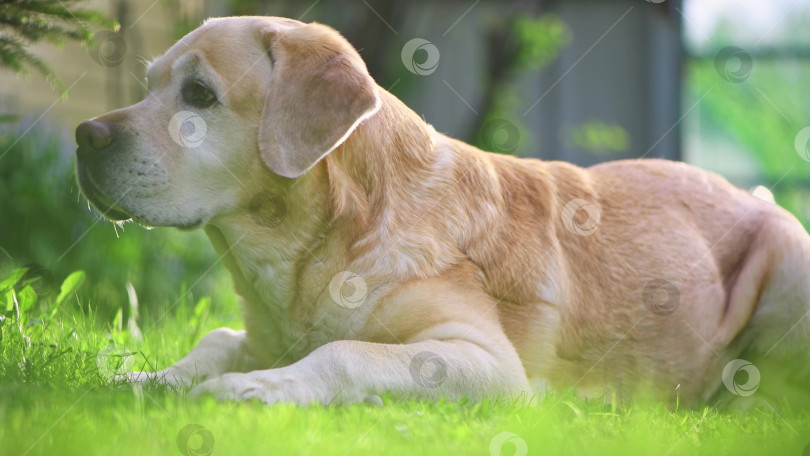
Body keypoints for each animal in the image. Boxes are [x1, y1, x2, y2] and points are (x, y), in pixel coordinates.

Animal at [72, 16, 804, 406]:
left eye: (199, 94)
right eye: (148, 85)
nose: (84, 134)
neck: (321, 250)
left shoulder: (486, 361)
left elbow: (345, 350)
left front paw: (259, 388)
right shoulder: (259, 332)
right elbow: (217, 340)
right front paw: (149, 377)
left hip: (788, 261)